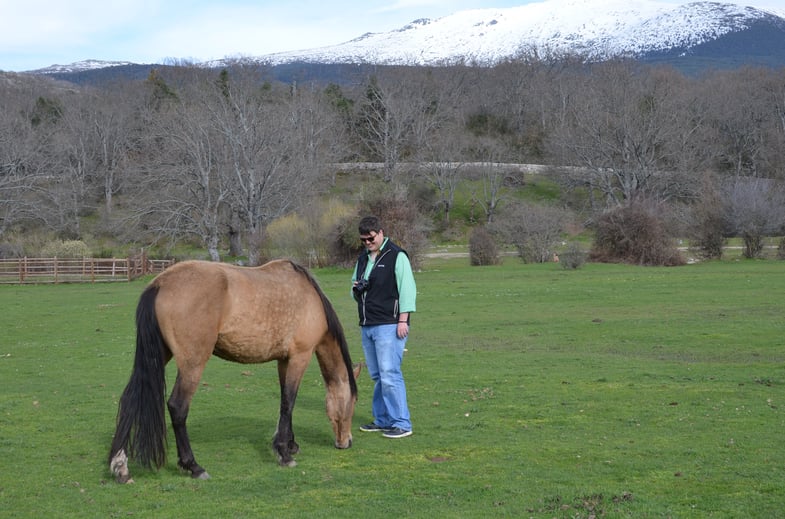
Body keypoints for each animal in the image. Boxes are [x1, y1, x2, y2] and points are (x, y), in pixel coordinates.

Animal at [108, 260, 358, 484]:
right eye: (353, 403)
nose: (347, 442)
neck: (309, 299)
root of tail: (160, 283)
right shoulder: (300, 357)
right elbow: (289, 402)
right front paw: (284, 453)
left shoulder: (283, 361)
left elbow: (285, 403)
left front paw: (289, 444)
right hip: (192, 364)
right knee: (178, 407)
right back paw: (193, 466)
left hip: (160, 355)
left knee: (130, 399)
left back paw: (120, 466)